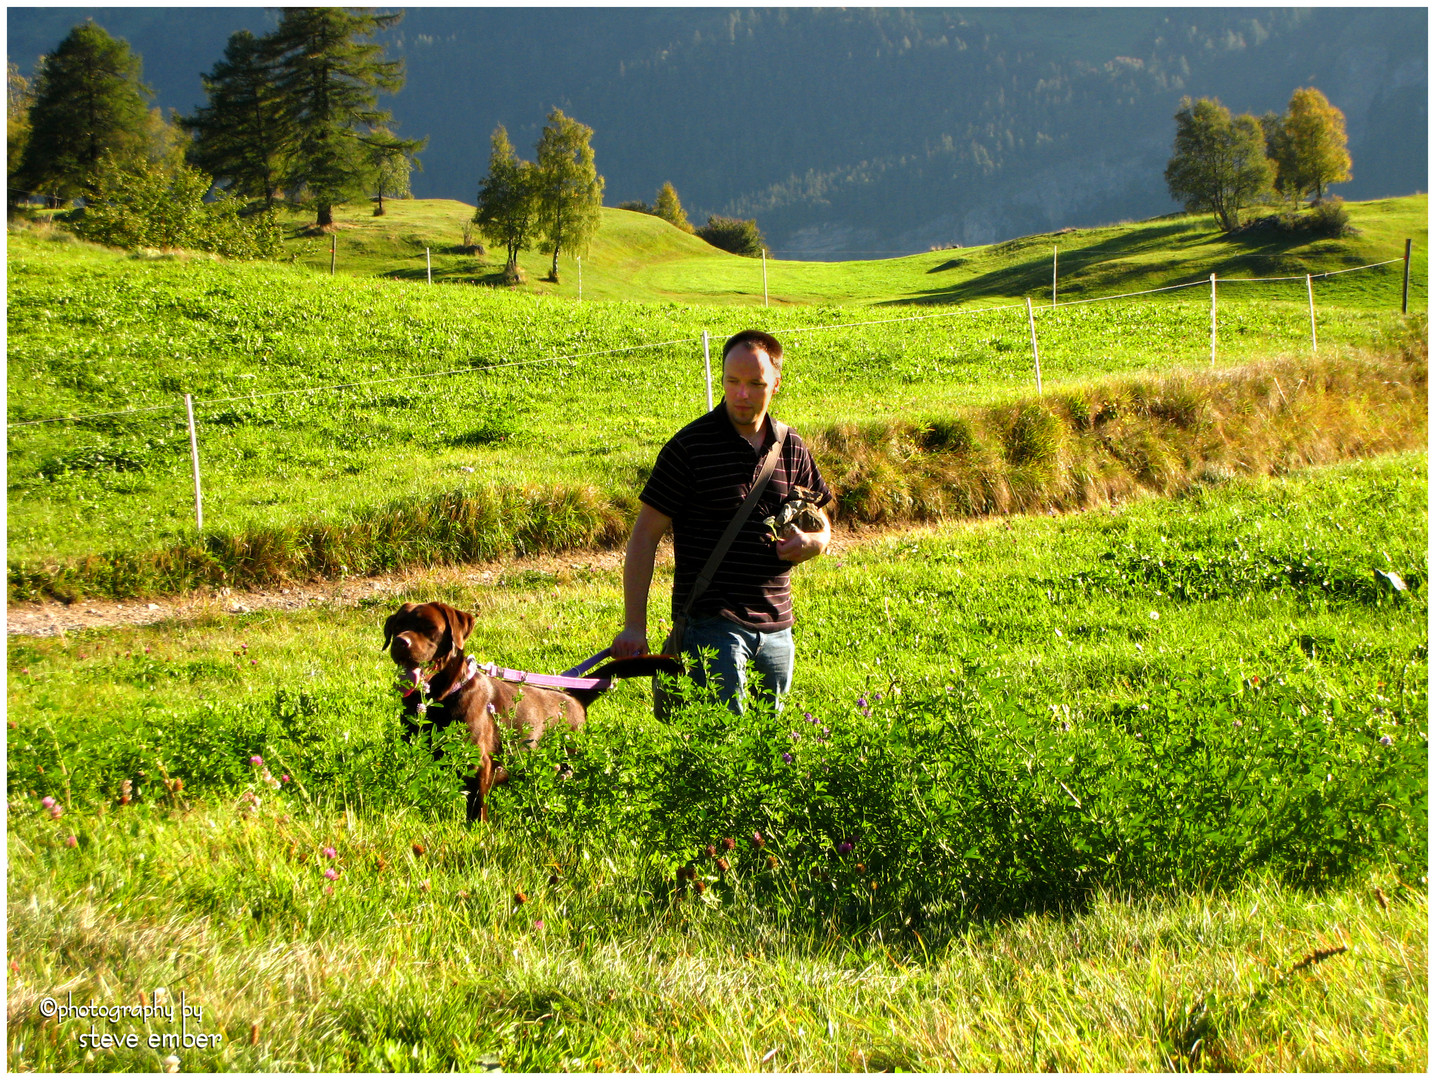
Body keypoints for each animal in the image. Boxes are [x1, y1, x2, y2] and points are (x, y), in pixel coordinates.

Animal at [378, 602, 674, 820]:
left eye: (429, 627)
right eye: (399, 626)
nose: (401, 642)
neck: (442, 697)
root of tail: (573, 696)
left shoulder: (477, 765)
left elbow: (476, 810)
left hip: (572, 757)